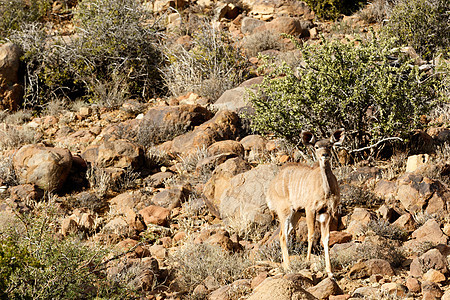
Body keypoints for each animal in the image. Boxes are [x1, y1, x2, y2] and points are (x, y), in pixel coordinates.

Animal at [268, 129, 344, 276]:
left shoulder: (326, 212)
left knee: (284, 234)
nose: (325, 155)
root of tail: (272, 184)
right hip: (284, 211)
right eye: (316, 147)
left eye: (330, 145)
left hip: (296, 213)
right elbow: (311, 234)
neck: (327, 190)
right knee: (283, 236)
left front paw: (330, 271)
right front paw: (308, 262)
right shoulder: (310, 209)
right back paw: (289, 267)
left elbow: (326, 238)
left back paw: (286, 266)